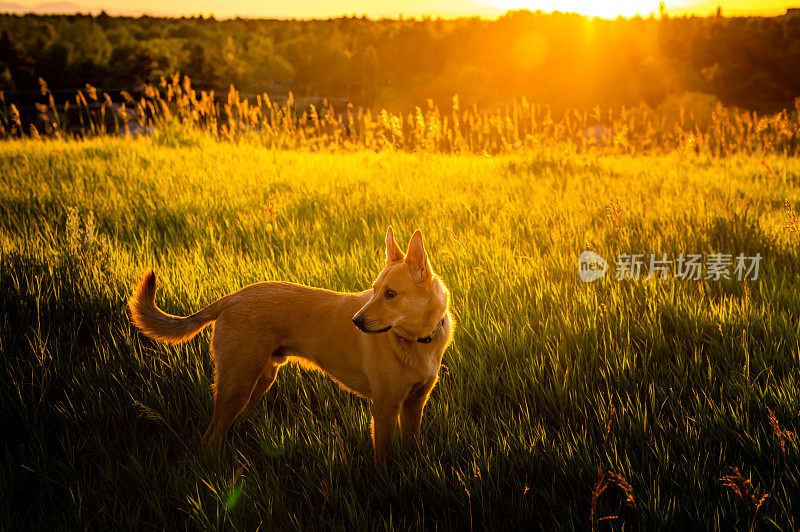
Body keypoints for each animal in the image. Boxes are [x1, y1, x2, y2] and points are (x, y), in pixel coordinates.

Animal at [129, 229, 454, 466]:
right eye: (374, 291)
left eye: (390, 294)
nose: (356, 321)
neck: (417, 341)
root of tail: (231, 298)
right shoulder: (385, 407)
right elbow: (383, 458)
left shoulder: (414, 404)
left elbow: (411, 448)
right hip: (237, 383)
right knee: (210, 438)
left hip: (259, 380)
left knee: (235, 423)